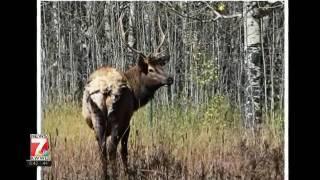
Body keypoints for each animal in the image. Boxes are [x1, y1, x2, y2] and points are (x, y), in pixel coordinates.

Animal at [82, 12, 172, 177]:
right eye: (150, 69)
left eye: (161, 65)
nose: (170, 78)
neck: (136, 96)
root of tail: (105, 89)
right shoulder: (127, 121)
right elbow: (124, 150)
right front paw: (127, 172)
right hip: (118, 117)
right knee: (112, 148)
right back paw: (116, 174)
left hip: (96, 118)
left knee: (102, 148)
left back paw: (105, 175)